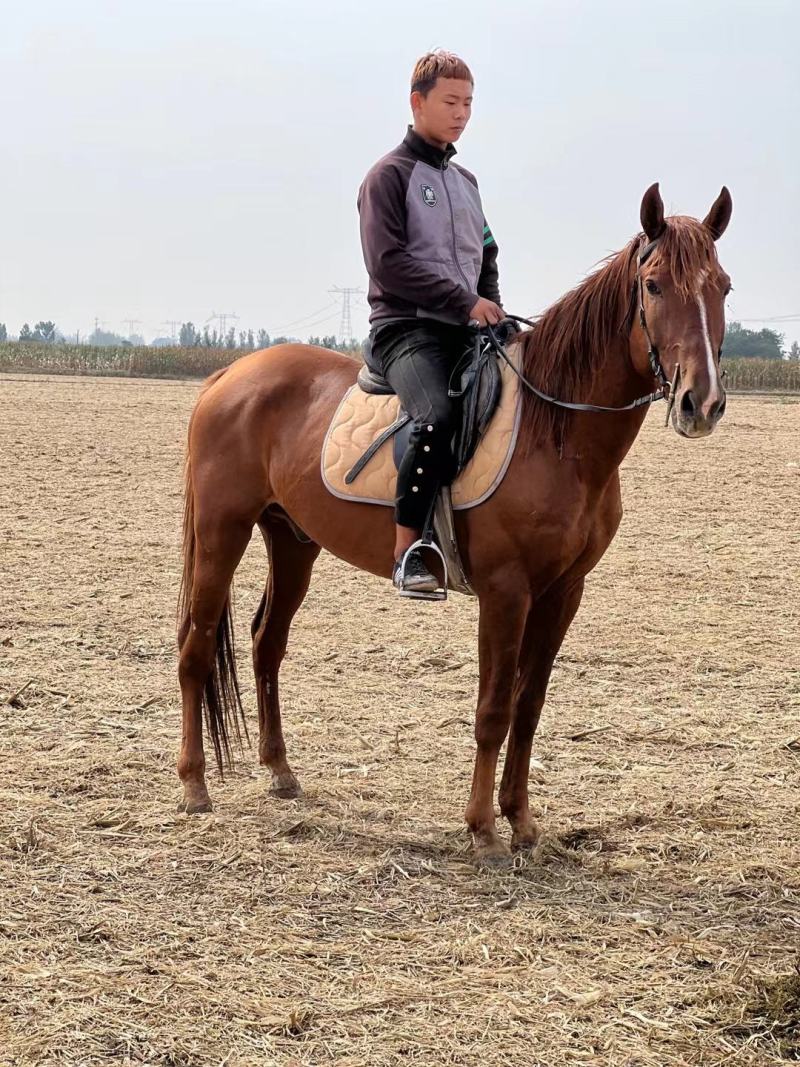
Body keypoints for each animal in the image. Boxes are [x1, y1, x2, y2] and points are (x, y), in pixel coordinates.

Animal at [176, 182, 732, 866]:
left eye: (723, 285)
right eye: (653, 285)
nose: (702, 403)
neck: (555, 430)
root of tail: (230, 374)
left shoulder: (563, 592)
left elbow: (528, 706)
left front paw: (521, 821)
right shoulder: (506, 591)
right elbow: (493, 710)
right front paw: (484, 831)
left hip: (293, 541)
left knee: (265, 644)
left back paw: (281, 773)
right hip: (221, 533)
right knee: (196, 647)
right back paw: (195, 786)